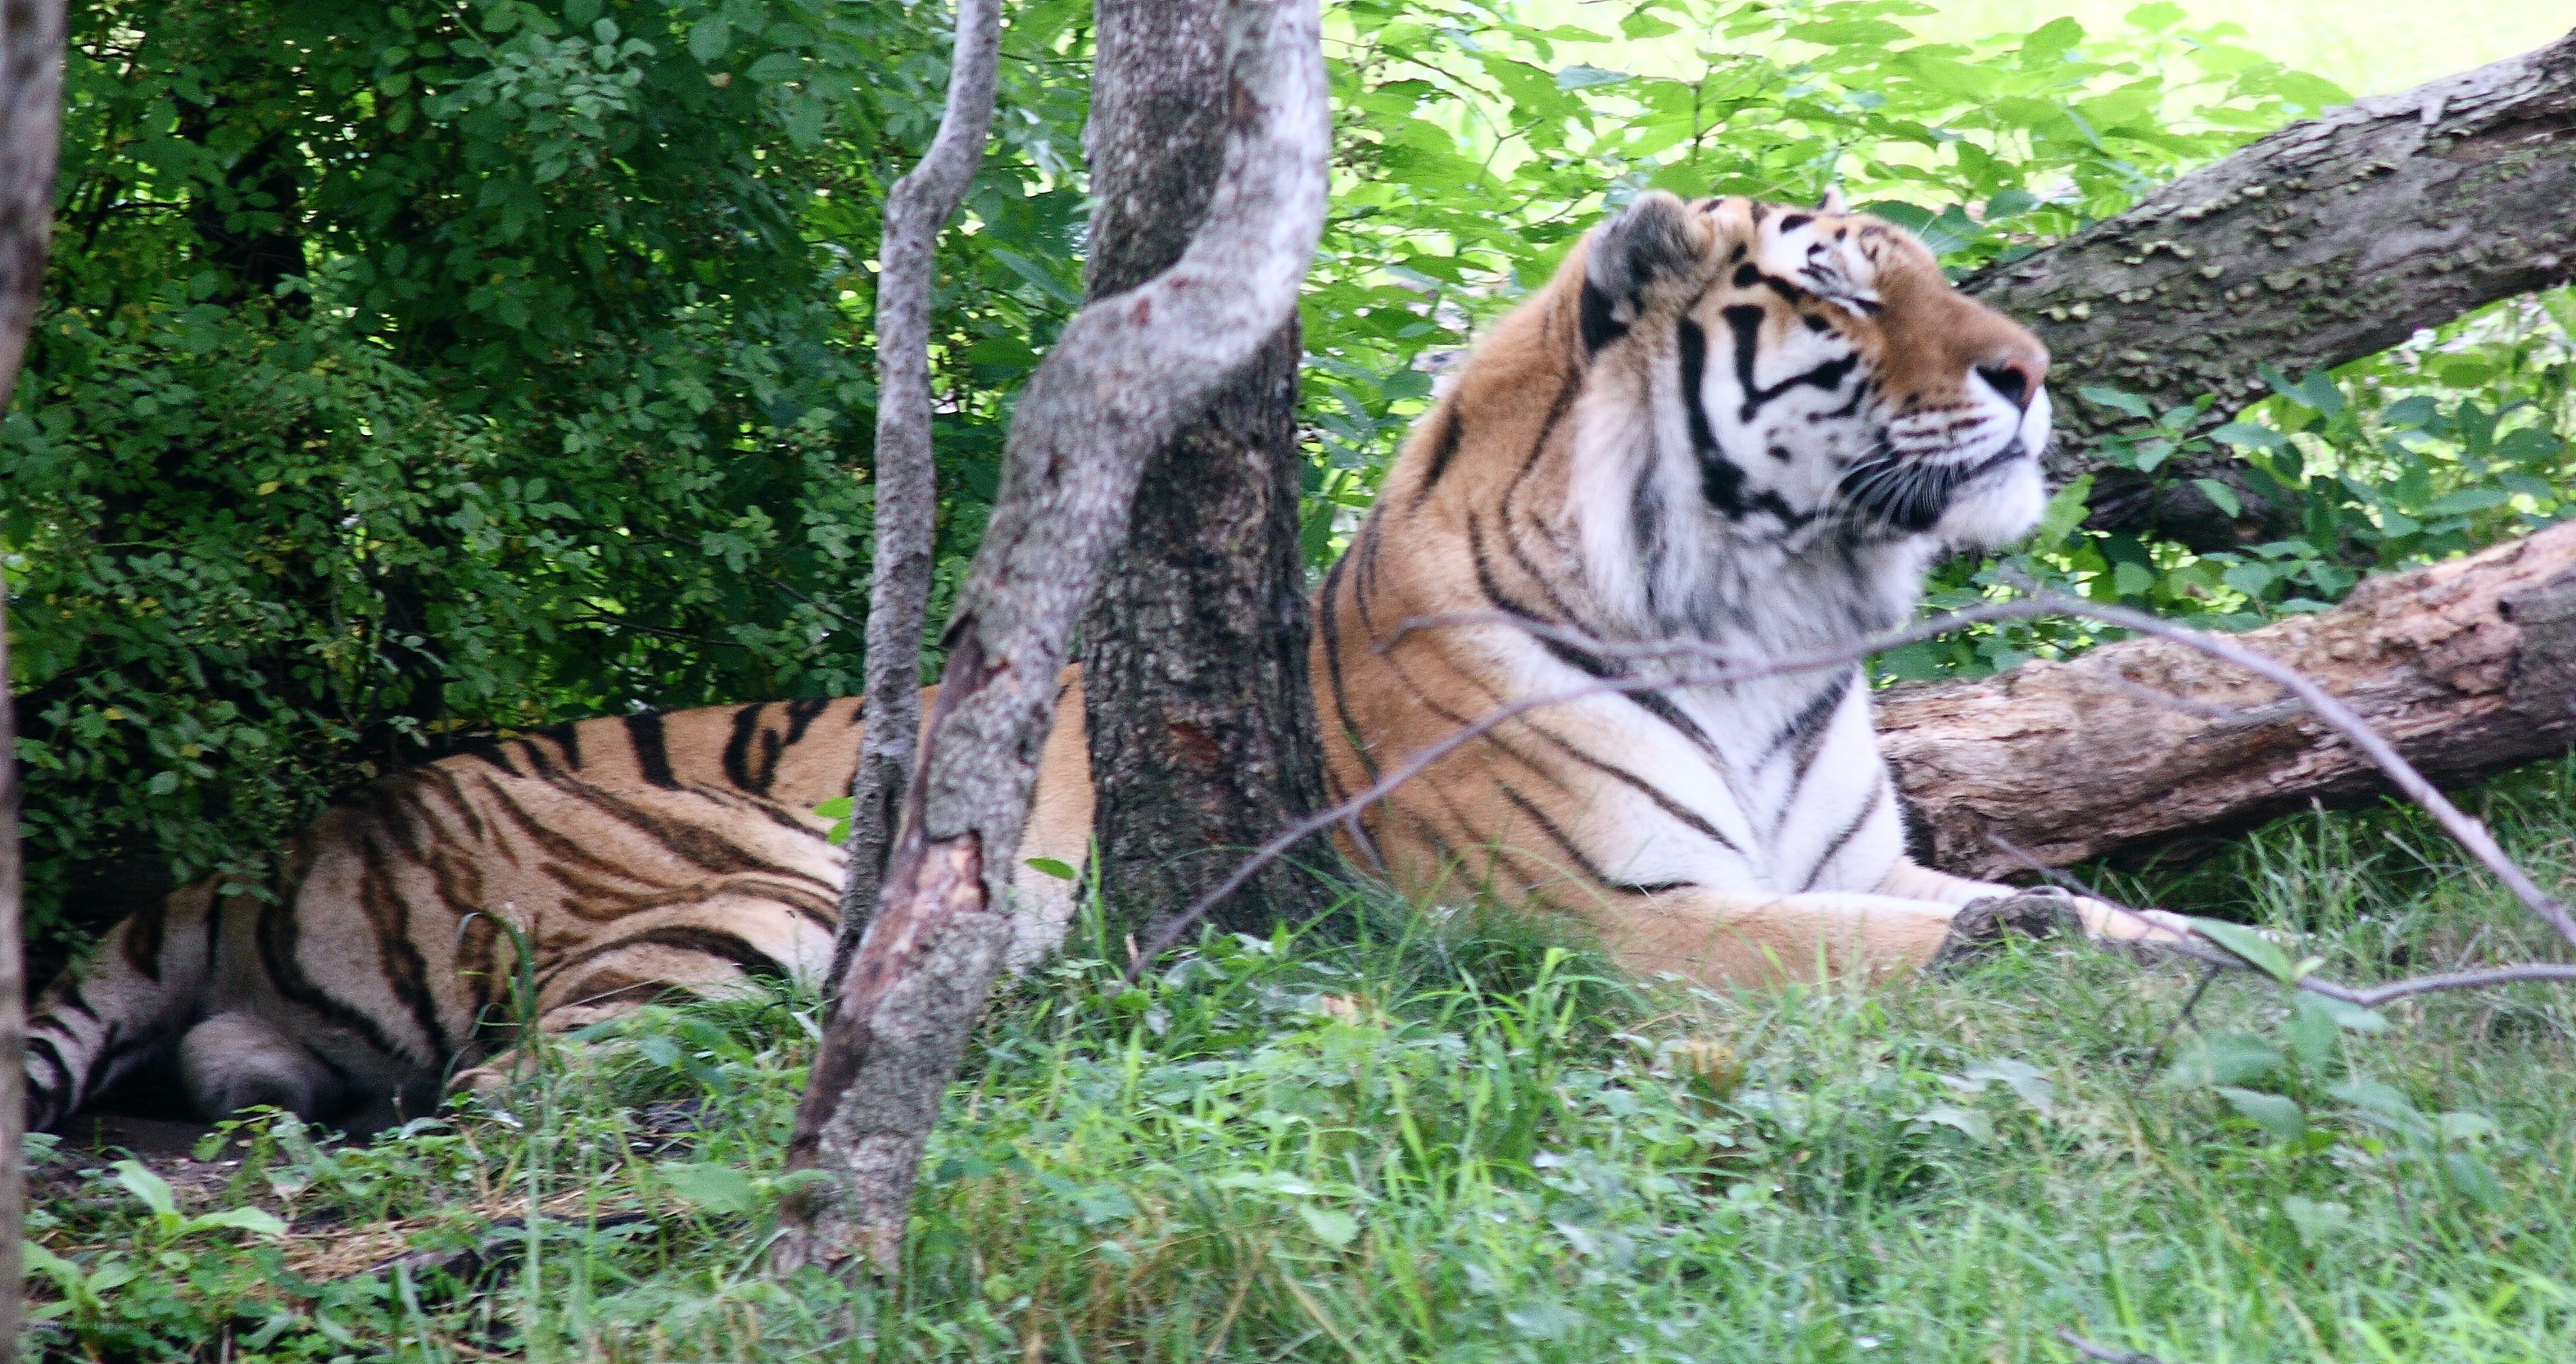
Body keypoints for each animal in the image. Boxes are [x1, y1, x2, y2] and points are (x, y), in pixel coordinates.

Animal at [26, 189, 2169, 1132]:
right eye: (1835, 293)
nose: (2031, 372)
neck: (1771, 620)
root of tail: (271, 846)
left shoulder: (1849, 858)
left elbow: (2073, 910)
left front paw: (2202, 949)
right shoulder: (1612, 917)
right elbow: (1949, 951)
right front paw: (2111, 970)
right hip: (759, 889)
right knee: (536, 1091)